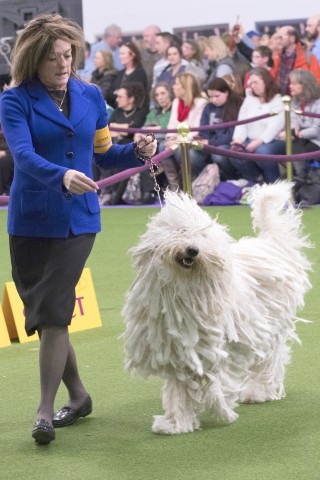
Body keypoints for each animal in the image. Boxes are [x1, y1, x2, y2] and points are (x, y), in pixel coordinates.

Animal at [121, 181, 312, 436]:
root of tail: (270, 243)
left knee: (270, 359)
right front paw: (176, 423)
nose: (192, 250)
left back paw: (258, 391)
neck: (185, 288)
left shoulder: (222, 347)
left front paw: (220, 407)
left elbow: (219, 380)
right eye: (181, 231)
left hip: (269, 326)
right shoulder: (179, 350)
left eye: (202, 235)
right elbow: (179, 389)